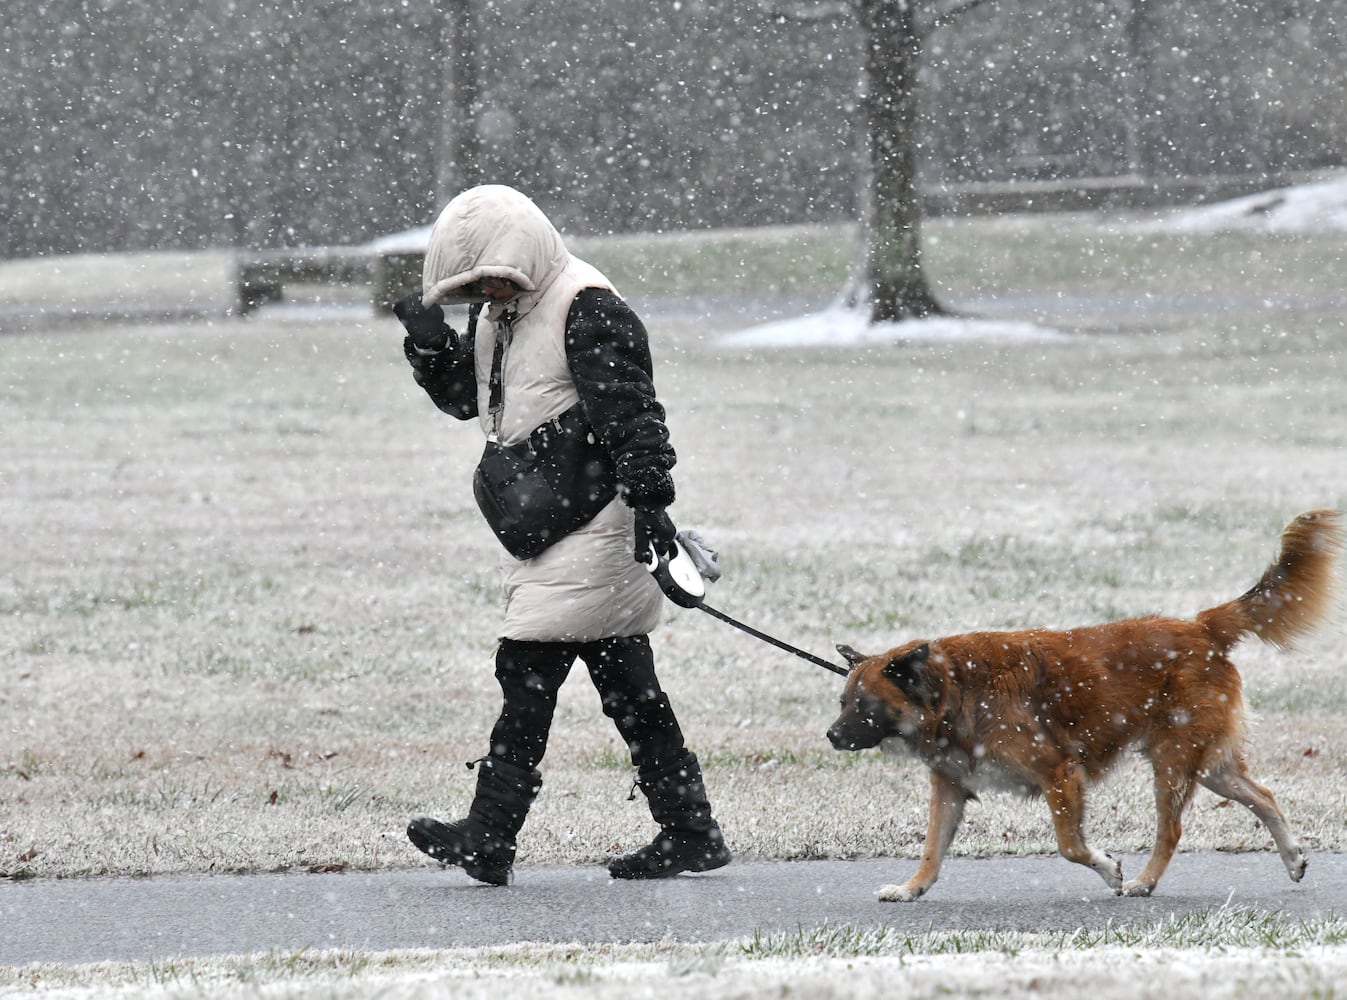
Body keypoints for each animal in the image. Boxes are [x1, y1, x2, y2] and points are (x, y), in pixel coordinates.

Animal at [824, 509, 1341, 900]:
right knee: (1263, 796)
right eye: (843, 701)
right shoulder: (950, 787)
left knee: (1171, 830)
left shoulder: (1060, 773)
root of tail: (1202, 628)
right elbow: (932, 849)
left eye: (866, 705)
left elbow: (1070, 845)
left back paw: (1143, 882)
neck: (955, 688)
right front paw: (911, 888)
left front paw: (1109, 868)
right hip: (1209, 762)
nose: (831, 735)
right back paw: (1293, 858)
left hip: (1173, 760)